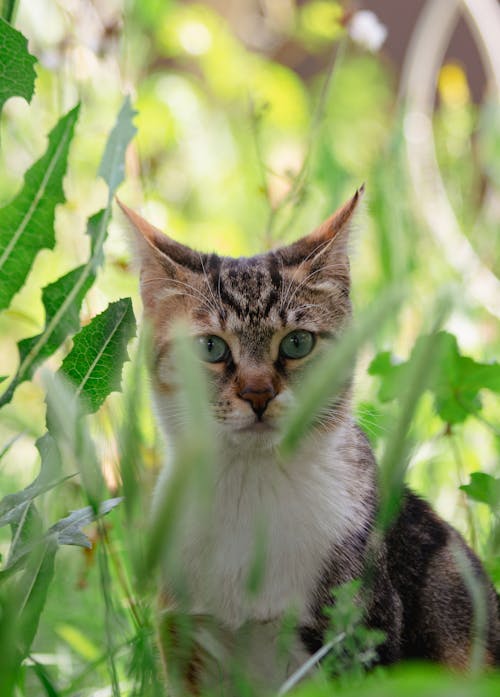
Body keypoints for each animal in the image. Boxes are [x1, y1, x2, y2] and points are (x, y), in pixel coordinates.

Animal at [118, 188, 500, 692]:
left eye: (297, 343)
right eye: (211, 347)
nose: (258, 393)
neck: (251, 498)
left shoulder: (358, 640)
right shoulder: (186, 651)